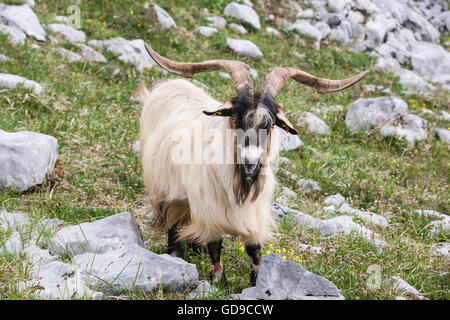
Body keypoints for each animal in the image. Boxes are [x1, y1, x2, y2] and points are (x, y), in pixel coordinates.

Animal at [138, 43, 370, 284]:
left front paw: (256, 283)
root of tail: (166, 85)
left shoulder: (254, 216)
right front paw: (218, 282)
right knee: (173, 226)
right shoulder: (210, 211)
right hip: (168, 191)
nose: (250, 163)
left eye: (270, 125)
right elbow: (216, 250)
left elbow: (254, 253)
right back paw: (176, 255)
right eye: (235, 118)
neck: (240, 184)